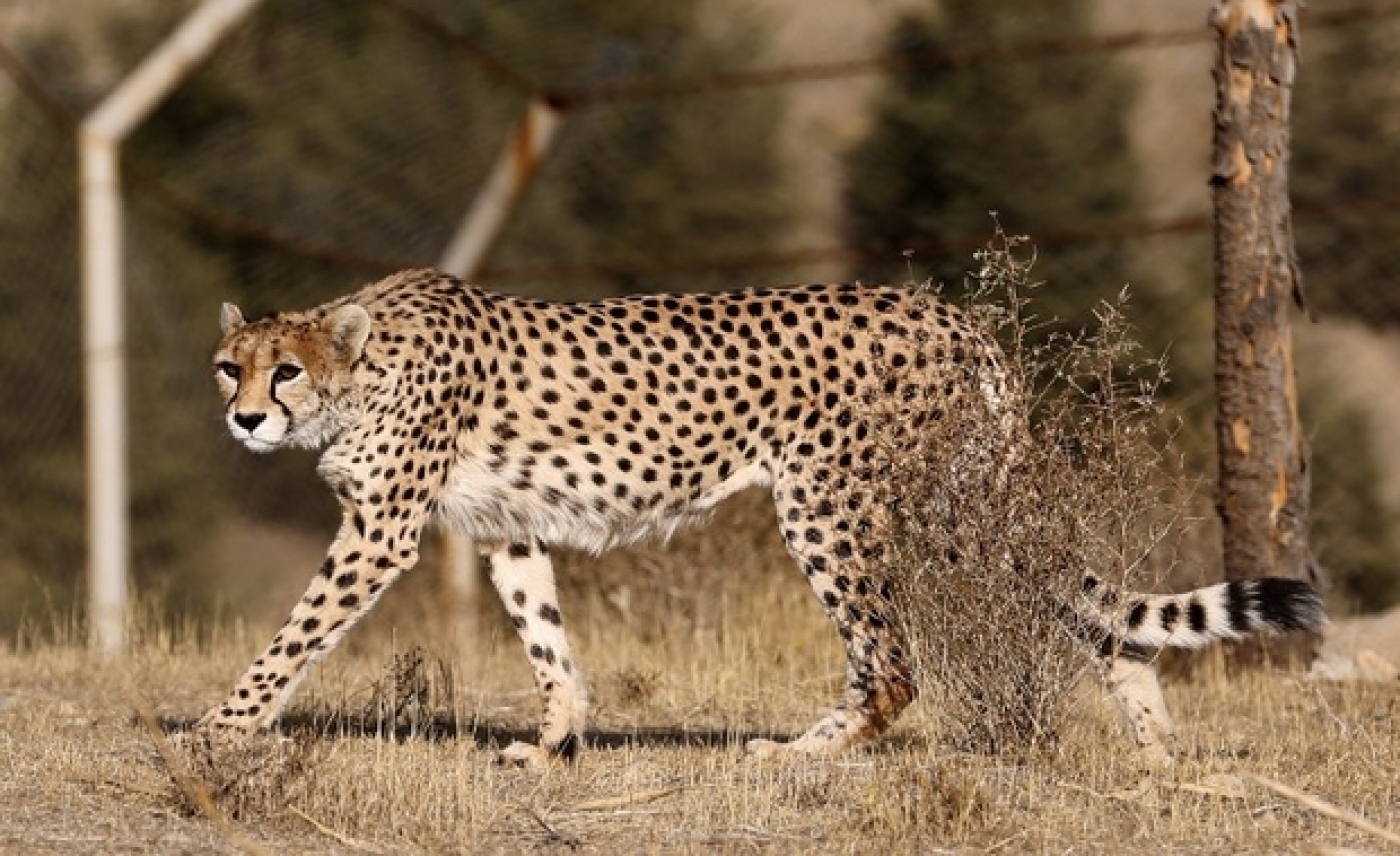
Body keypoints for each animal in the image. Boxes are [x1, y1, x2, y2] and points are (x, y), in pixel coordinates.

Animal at [200, 267, 1321, 762]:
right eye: (228, 365)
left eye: (284, 370)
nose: (244, 418)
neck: (362, 366)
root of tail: (951, 312)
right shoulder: (507, 525)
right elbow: (545, 637)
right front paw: (554, 739)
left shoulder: (381, 532)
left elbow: (297, 633)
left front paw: (220, 723)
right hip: (962, 506)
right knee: (1090, 614)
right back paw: (1154, 749)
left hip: (835, 502)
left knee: (895, 662)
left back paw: (804, 751)